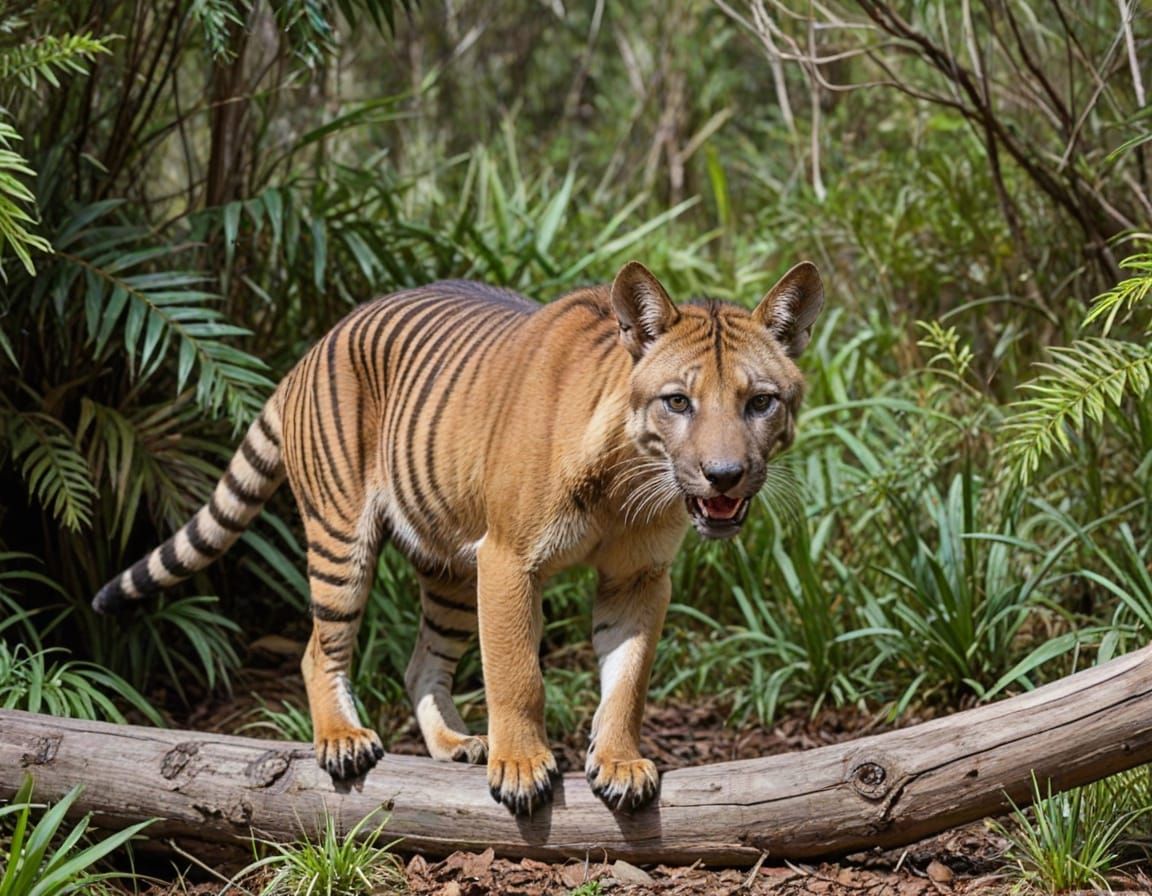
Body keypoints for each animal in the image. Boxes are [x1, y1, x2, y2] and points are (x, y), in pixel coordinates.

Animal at [92, 260, 823, 815]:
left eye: (760, 402)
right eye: (678, 402)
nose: (724, 475)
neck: (625, 480)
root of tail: (315, 346)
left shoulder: (638, 578)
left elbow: (628, 679)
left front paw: (618, 762)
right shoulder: (507, 561)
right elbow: (517, 673)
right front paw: (523, 766)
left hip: (445, 567)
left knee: (421, 662)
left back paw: (453, 744)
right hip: (342, 542)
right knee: (316, 649)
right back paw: (344, 739)